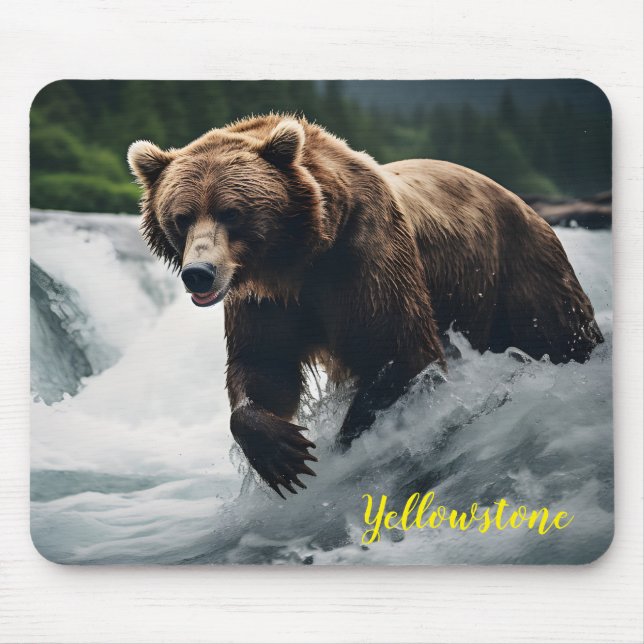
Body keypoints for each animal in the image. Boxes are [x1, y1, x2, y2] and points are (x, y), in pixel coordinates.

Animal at [128, 114, 604, 498]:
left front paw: (346, 446)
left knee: (557, 332)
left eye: (232, 212)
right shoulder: (265, 298)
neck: (299, 257)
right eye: (182, 216)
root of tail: (525, 204)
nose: (200, 273)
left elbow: (398, 349)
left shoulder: (364, 259)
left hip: (517, 272)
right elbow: (264, 366)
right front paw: (284, 452)